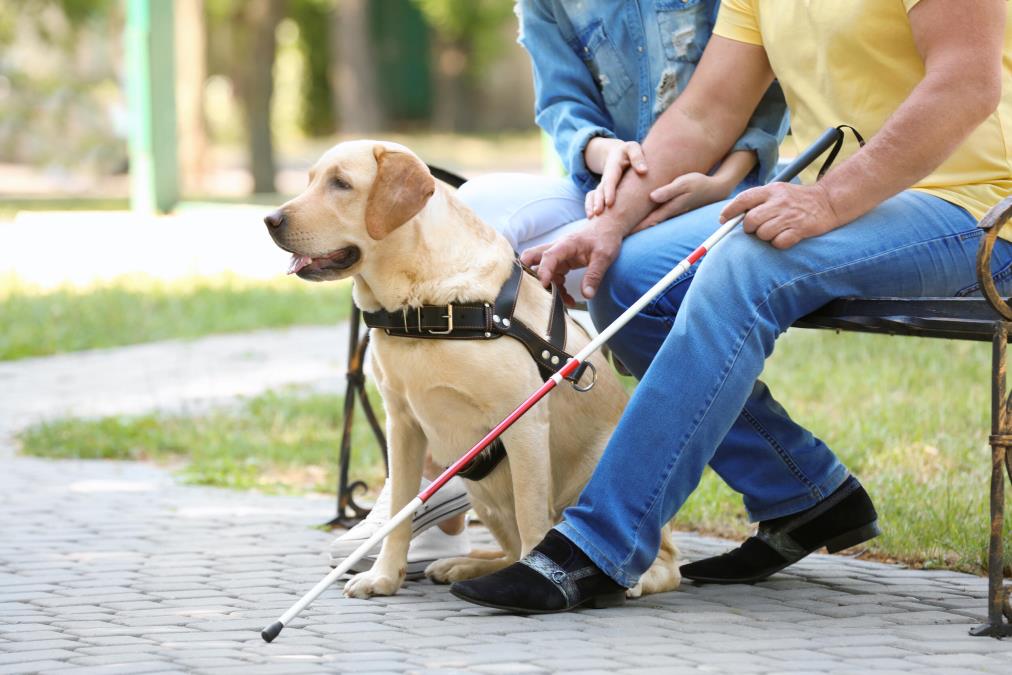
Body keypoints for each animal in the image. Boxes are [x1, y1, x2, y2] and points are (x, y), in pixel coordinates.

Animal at [265, 139, 684, 599]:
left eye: (341, 184)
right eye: (310, 181)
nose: (270, 219)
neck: (421, 305)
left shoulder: (524, 423)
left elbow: (533, 518)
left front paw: (530, 581)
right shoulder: (402, 425)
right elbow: (398, 513)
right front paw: (385, 576)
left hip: (596, 473)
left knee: (661, 561)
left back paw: (635, 580)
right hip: (482, 491)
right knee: (510, 547)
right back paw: (464, 565)